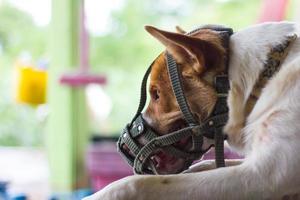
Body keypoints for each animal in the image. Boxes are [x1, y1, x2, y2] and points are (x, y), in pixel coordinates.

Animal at [84, 21, 300, 199]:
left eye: (156, 94)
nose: (124, 147)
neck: (265, 76)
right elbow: (202, 165)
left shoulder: (265, 174)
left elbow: (135, 184)